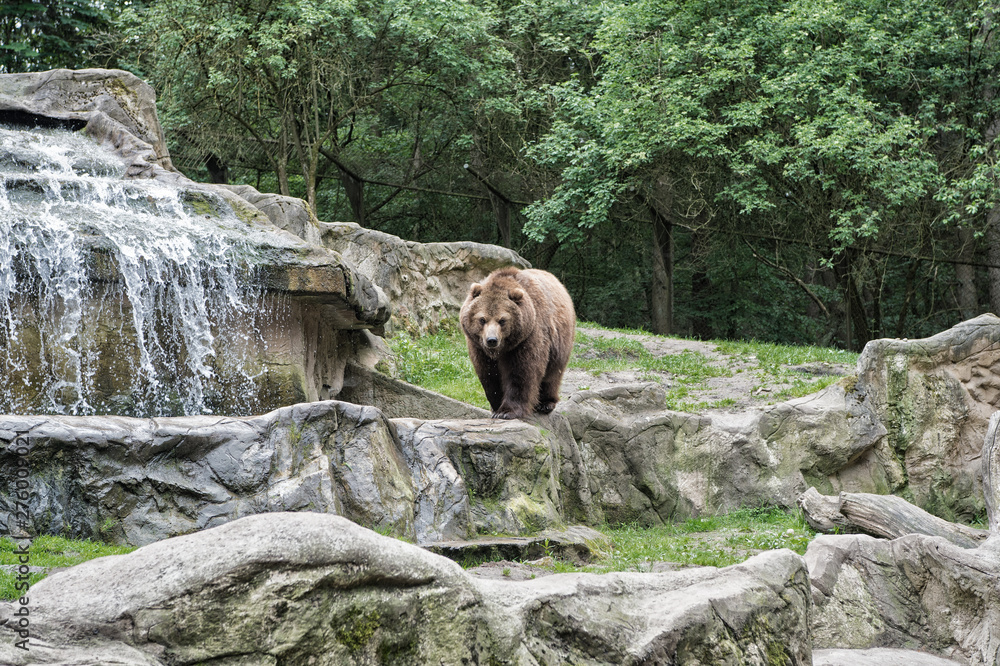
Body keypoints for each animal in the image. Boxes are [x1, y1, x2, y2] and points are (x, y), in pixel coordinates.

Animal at [459, 267, 576, 419]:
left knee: (553, 372)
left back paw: (546, 403)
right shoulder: (478, 347)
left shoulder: (527, 339)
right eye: (482, 319)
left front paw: (506, 411)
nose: (492, 340)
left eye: (502, 320)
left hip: (560, 339)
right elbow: (489, 374)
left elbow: (521, 372)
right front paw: (496, 407)